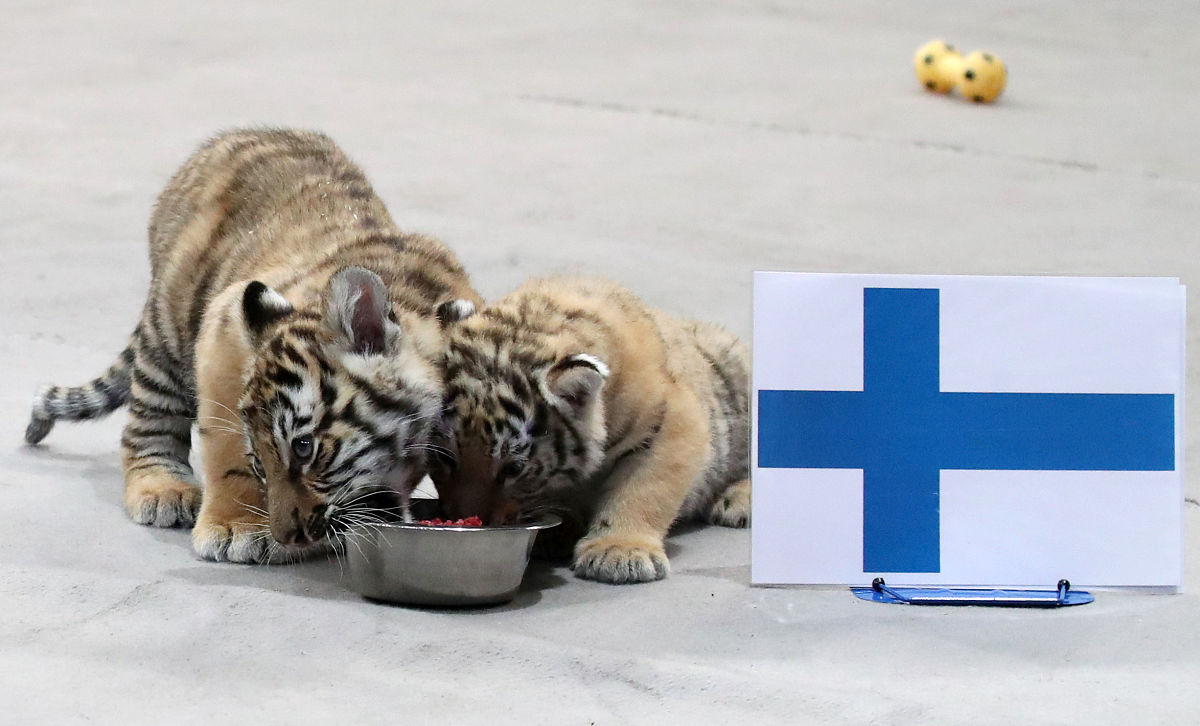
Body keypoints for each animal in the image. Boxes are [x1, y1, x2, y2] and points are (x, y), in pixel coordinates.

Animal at [24, 128, 481, 563]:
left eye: (304, 448)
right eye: (263, 459)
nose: (287, 535)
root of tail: (230, 138)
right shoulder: (222, 329)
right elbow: (226, 451)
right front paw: (237, 529)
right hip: (168, 325)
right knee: (149, 416)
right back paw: (162, 488)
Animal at [430, 276, 750, 584]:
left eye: (513, 468)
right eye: (445, 458)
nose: (468, 518)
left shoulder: (673, 421)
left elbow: (643, 488)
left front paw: (620, 551)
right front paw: (556, 534)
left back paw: (738, 501)